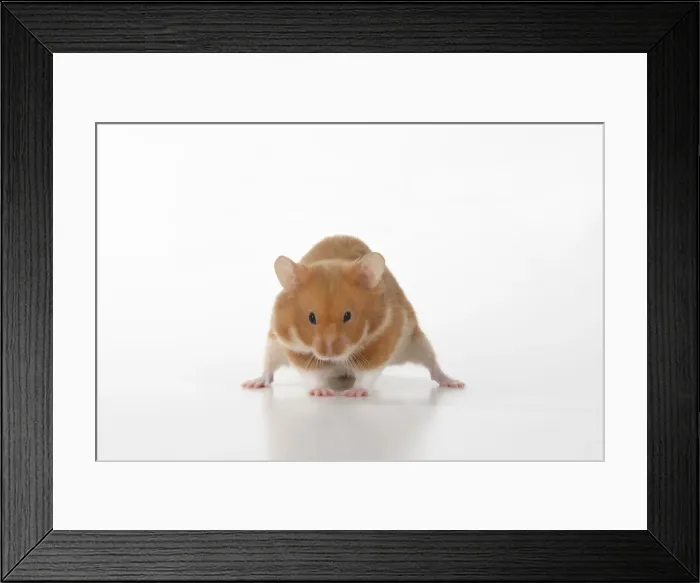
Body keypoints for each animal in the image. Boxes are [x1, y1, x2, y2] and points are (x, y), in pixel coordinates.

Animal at [242, 235, 464, 397]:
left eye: (348, 316)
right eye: (311, 317)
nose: (328, 354)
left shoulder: (384, 339)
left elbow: (367, 374)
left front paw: (354, 393)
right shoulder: (292, 346)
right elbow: (312, 374)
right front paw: (322, 392)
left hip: (417, 342)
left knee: (433, 365)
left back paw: (454, 383)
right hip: (272, 346)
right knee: (268, 370)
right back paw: (253, 383)